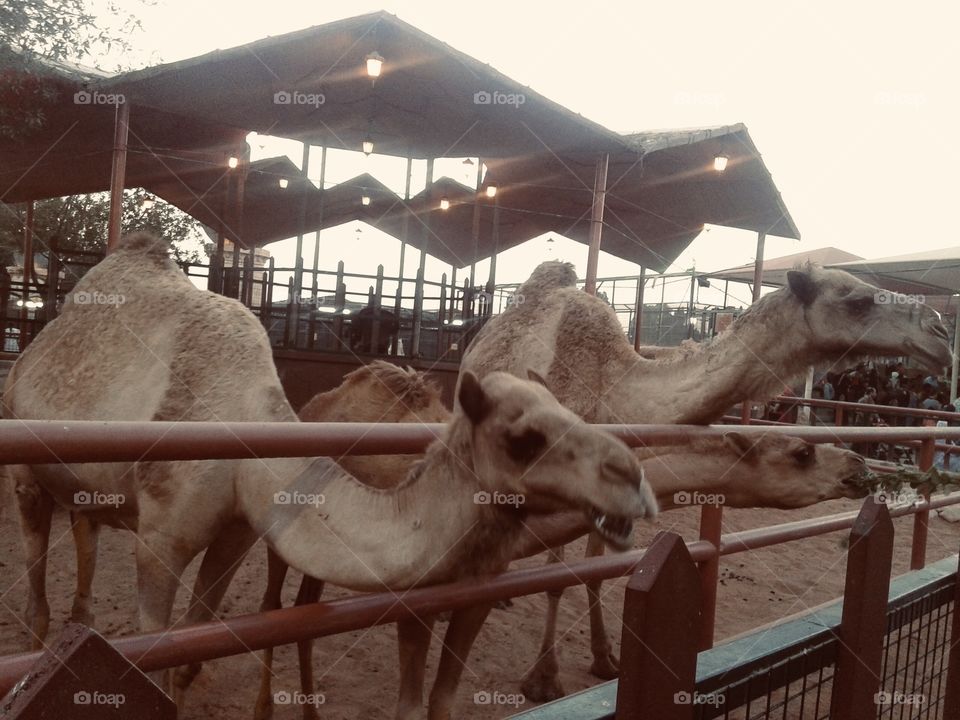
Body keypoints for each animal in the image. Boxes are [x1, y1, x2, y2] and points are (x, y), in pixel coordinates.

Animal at [2, 233, 657, 720]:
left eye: (575, 413)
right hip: (26, 470)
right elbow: (155, 667)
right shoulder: (162, 537)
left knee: (84, 528)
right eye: (523, 439)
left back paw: (82, 619)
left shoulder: (237, 531)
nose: (633, 478)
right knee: (35, 598)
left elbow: (189, 657)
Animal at [458, 259, 953, 699]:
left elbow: (595, 572)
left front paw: (604, 659)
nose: (942, 334)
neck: (614, 392)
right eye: (858, 300)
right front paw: (543, 680)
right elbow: (558, 579)